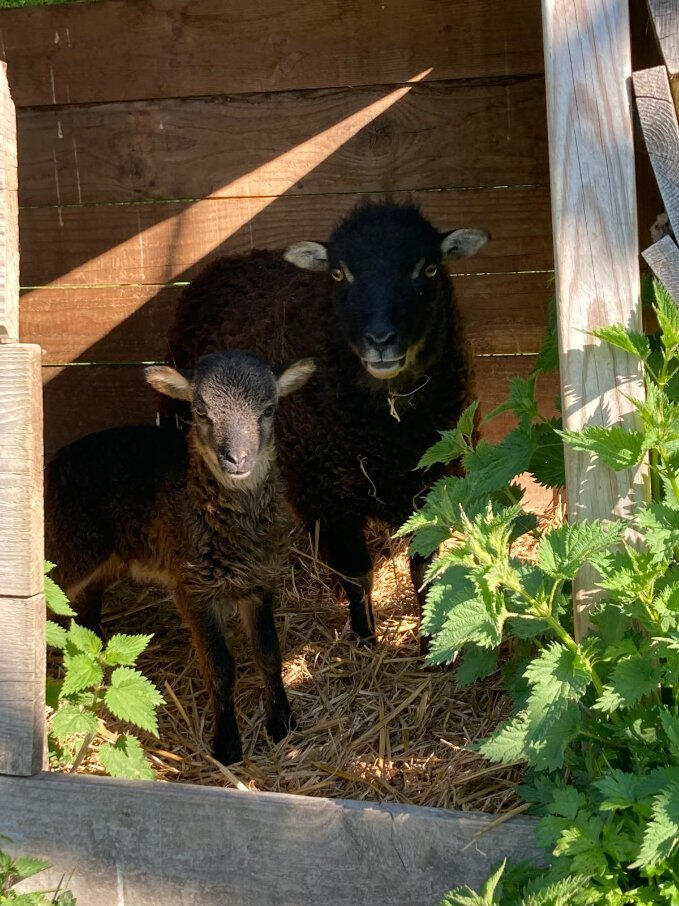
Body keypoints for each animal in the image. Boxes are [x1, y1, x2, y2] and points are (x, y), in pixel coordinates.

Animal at [45, 349, 316, 764]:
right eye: (201, 412)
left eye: (268, 409)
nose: (237, 459)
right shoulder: (193, 588)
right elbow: (220, 668)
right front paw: (227, 747)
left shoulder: (259, 581)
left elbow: (269, 653)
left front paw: (283, 724)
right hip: (72, 548)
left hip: (113, 558)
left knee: (85, 609)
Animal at [166, 201, 489, 645]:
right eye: (338, 273)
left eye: (427, 269)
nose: (381, 340)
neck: (385, 432)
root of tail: (233, 259)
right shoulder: (327, 497)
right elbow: (357, 575)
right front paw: (365, 638)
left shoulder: (427, 489)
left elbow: (423, 570)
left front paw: (426, 640)